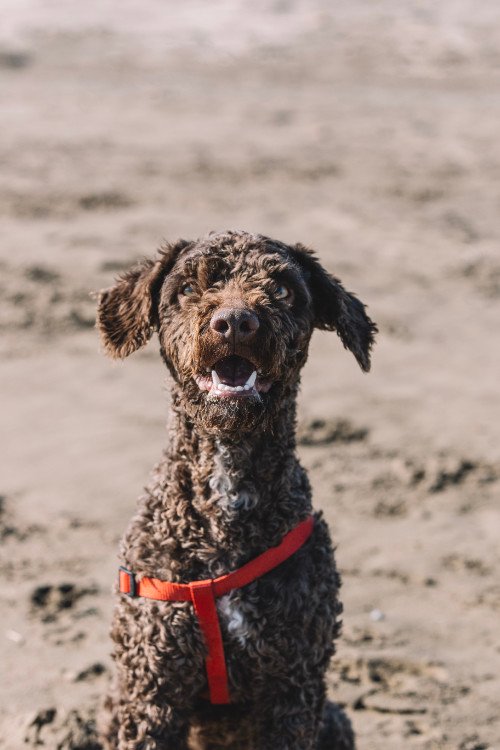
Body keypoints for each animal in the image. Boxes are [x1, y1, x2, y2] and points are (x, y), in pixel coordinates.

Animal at [95, 231, 376, 750]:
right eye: (188, 288)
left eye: (282, 288)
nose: (235, 323)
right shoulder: (151, 689)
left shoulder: (295, 689)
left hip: (334, 720)